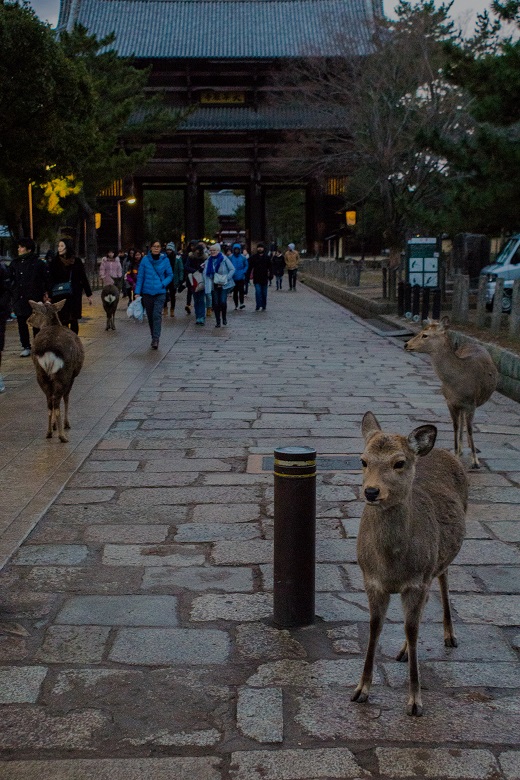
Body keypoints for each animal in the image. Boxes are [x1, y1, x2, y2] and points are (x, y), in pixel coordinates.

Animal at [26, 300, 84, 442]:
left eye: (34, 312)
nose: (27, 320)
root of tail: (48, 351)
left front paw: (54, 426)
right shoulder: (72, 376)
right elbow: (67, 398)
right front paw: (66, 424)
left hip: (41, 374)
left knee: (49, 402)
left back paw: (48, 432)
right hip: (63, 374)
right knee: (57, 401)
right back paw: (62, 436)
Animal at [354, 412, 468, 716]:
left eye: (399, 462)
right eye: (363, 460)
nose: (371, 491)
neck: (391, 567)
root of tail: (440, 450)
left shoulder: (417, 580)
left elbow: (414, 630)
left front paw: (415, 701)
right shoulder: (370, 580)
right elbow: (375, 627)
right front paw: (361, 690)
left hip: (439, 561)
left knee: (443, 582)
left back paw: (450, 636)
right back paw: (403, 651)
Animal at [404, 316, 498, 470]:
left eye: (425, 335)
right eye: (421, 331)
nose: (406, 344)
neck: (457, 384)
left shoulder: (471, 403)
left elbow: (470, 429)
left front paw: (475, 462)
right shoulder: (450, 402)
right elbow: (455, 426)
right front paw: (456, 455)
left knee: (467, 423)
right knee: (461, 422)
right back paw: (461, 449)